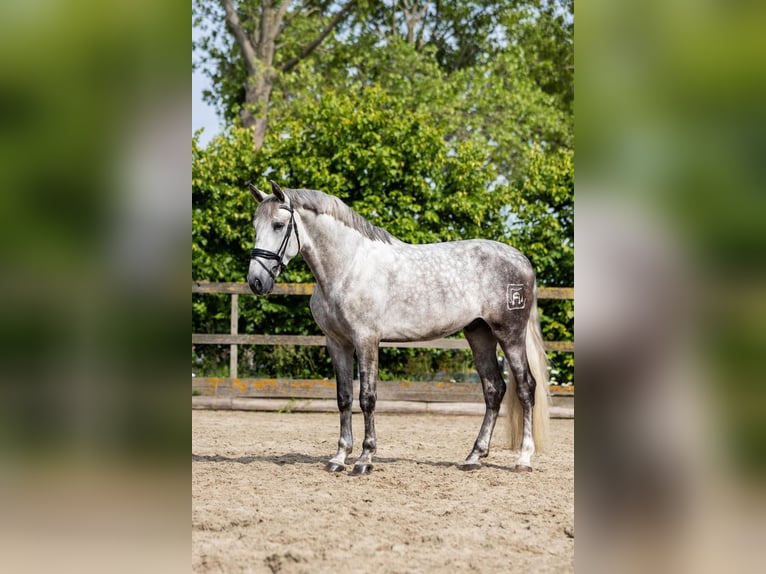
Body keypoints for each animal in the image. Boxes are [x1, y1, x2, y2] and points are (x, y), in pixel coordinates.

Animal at [246, 181, 550, 474]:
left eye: (278, 225)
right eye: (255, 226)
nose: (256, 281)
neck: (348, 267)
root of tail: (521, 260)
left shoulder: (366, 339)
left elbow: (367, 397)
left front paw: (365, 459)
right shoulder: (337, 342)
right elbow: (344, 397)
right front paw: (339, 458)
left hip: (509, 334)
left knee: (526, 387)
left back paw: (523, 459)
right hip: (479, 333)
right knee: (494, 389)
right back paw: (474, 456)